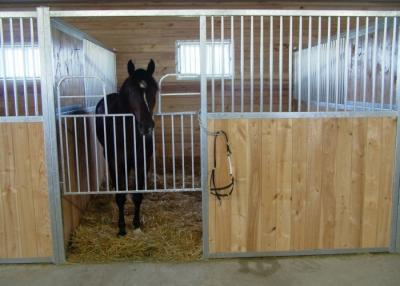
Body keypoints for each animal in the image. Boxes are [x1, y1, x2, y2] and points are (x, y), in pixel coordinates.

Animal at [95, 59, 158, 236]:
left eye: (154, 90)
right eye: (131, 92)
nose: (147, 127)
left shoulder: (142, 162)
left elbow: (137, 195)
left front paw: (136, 224)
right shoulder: (116, 162)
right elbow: (120, 196)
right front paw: (122, 227)